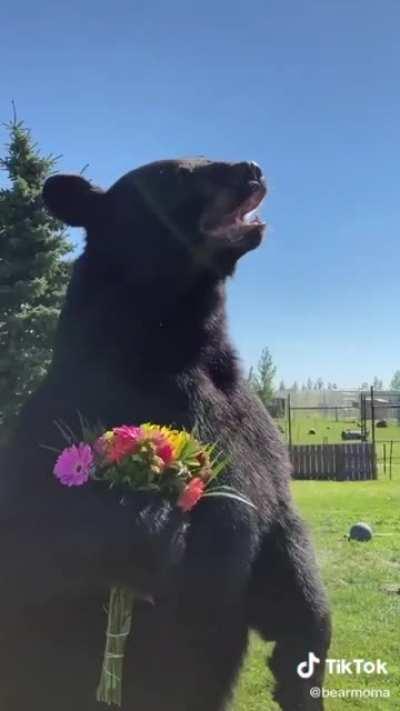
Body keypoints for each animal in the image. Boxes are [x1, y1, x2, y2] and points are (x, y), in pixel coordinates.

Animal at [0, 158, 330, 711]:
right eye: (175, 173)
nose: (252, 169)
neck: (175, 343)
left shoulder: (253, 436)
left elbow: (283, 542)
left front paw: (302, 665)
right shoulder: (63, 422)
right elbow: (48, 542)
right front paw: (151, 522)